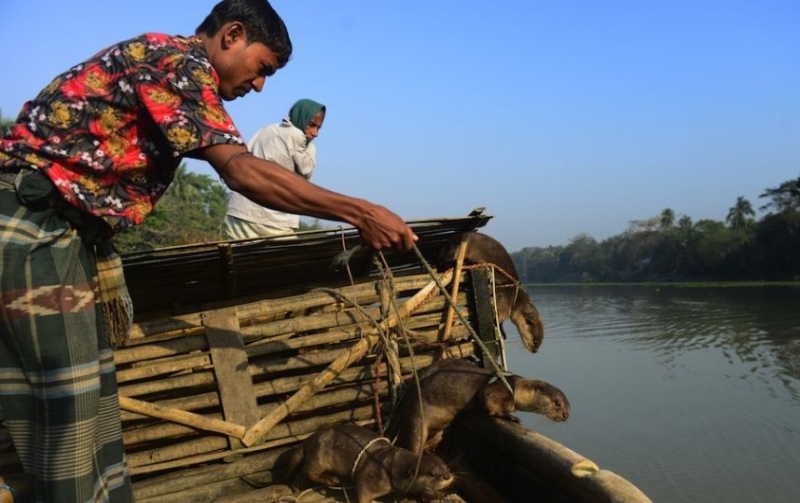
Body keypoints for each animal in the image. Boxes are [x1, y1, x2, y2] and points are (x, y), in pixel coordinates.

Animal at [284, 424, 454, 502]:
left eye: (446, 466)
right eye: (432, 473)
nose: (447, 476)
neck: (391, 467)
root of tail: (308, 440)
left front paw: (436, 494)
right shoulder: (372, 474)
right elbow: (362, 489)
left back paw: (297, 486)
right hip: (319, 454)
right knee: (309, 470)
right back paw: (332, 479)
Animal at [388, 358, 568, 456]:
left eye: (569, 407)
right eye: (557, 403)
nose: (566, 415)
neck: (514, 387)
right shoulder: (496, 390)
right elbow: (488, 401)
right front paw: (510, 416)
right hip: (418, 418)